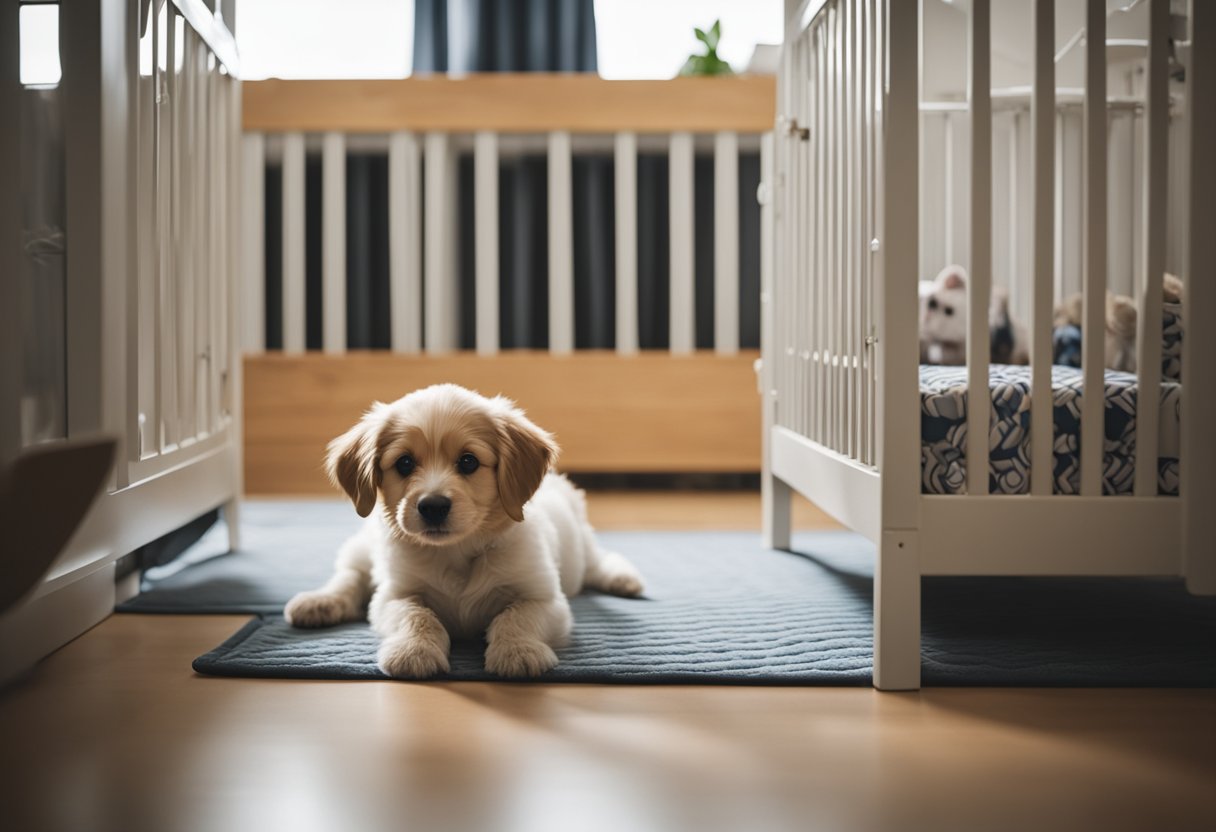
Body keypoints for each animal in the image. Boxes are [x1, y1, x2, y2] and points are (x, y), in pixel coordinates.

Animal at [284, 386, 646, 681]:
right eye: (404, 463)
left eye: (469, 462)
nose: (432, 506)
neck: (457, 552)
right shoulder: (394, 594)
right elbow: (418, 615)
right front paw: (414, 652)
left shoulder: (544, 597)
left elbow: (516, 617)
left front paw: (518, 651)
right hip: (363, 547)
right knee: (349, 575)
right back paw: (319, 602)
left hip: (579, 550)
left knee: (599, 562)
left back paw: (624, 580)